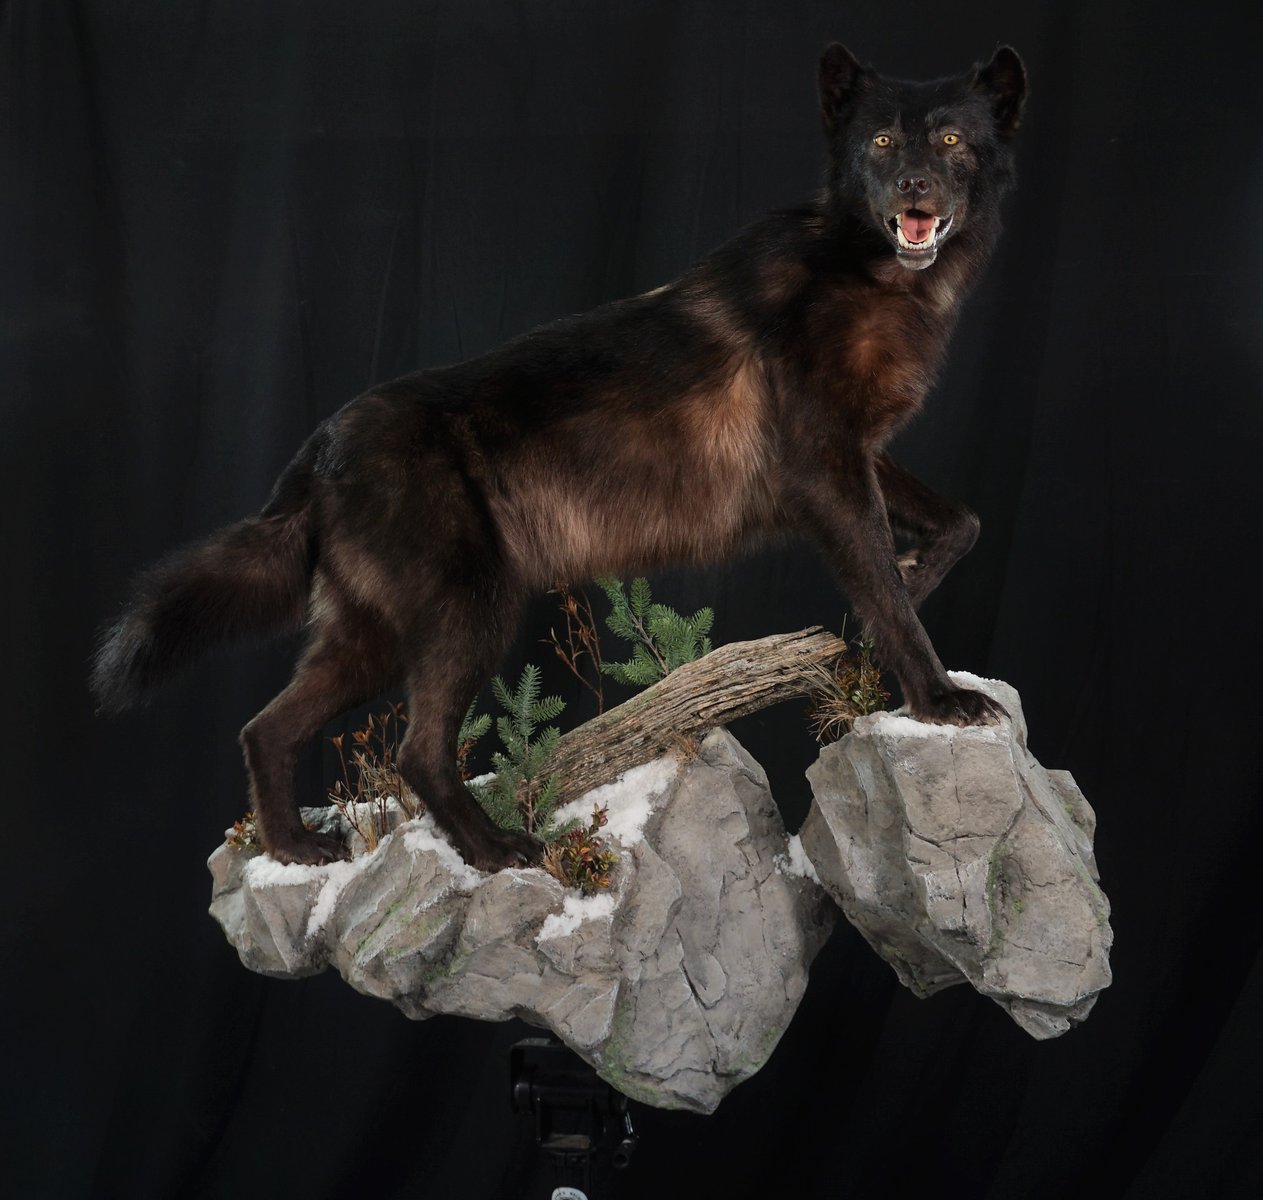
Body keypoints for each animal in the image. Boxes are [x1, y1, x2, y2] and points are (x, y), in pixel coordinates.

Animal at [92, 44, 1026, 870]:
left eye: (949, 140)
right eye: (881, 143)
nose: (912, 188)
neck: (865, 274)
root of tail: (319, 445)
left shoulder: (858, 457)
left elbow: (961, 524)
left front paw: (911, 575)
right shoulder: (826, 471)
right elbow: (888, 597)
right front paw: (937, 697)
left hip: (372, 641)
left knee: (266, 729)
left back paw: (292, 850)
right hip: (468, 618)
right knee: (415, 751)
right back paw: (494, 852)